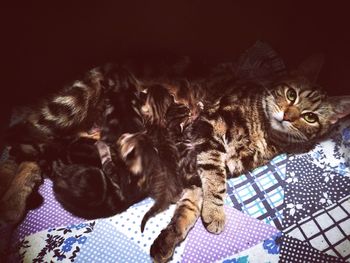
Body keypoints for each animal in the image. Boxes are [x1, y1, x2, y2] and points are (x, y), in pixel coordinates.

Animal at [3, 56, 350, 262]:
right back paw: (11, 202)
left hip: (83, 133)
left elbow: (189, 207)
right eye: (291, 94)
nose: (287, 116)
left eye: (310, 117)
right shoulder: (209, 130)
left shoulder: (195, 168)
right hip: (68, 106)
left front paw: (170, 238)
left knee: (39, 153)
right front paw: (215, 213)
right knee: (21, 140)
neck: (264, 131)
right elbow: (216, 183)